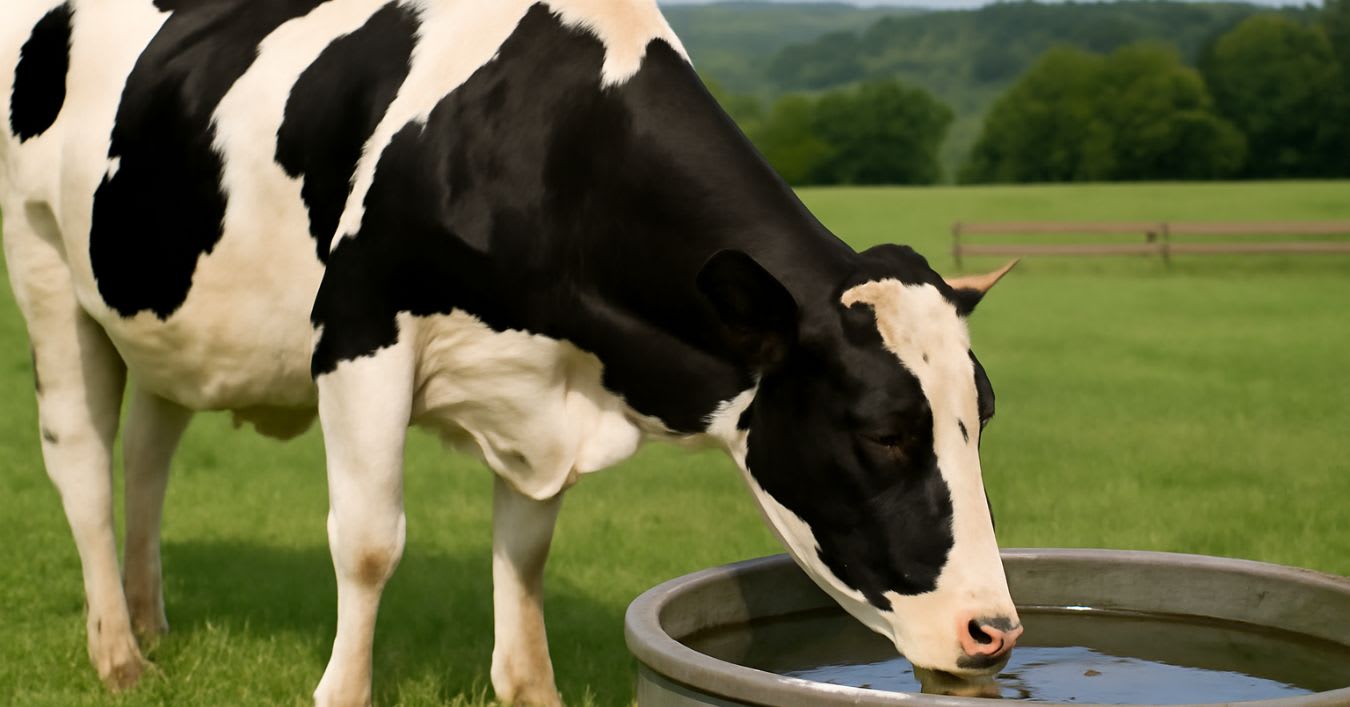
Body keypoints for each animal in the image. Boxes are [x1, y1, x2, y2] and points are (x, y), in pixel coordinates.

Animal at [0, 0, 1022, 704]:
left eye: (983, 416)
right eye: (884, 432)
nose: (994, 629)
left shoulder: (546, 384)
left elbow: (525, 550)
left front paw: (532, 687)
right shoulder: (360, 331)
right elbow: (368, 543)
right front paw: (342, 689)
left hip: (163, 317)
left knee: (149, 452)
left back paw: (151, 624)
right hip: (44, 259)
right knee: (84, 460)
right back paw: (118, 653)